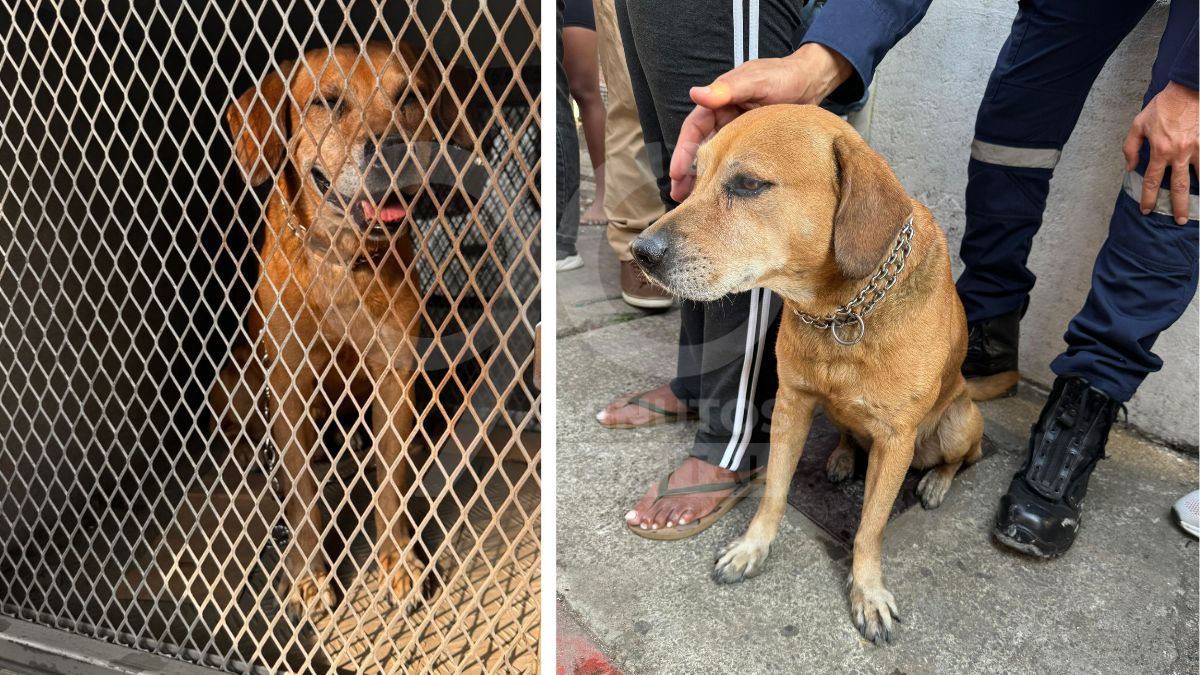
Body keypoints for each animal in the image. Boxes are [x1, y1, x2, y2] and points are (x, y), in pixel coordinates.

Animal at [220, 42, 468, 614]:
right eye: (327, 102)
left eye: (408, 95)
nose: (393, 153)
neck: (343, 257)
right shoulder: (289, 382)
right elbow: (302, 490)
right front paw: (309, 574)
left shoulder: (395, 372)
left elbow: (391, 482)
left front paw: (397, 561)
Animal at [633, 103, 979, 638]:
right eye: (695, 174)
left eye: (748, 184)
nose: (640, 253)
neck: (840, 313)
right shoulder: (792, 405)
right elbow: (774, 489)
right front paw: (753, 546)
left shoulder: (896, 439)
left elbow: (870, 527)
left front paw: (867, 591)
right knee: (849, 433)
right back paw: (841, 457)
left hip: (960, 421)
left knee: (961, 457)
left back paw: (936, 481)